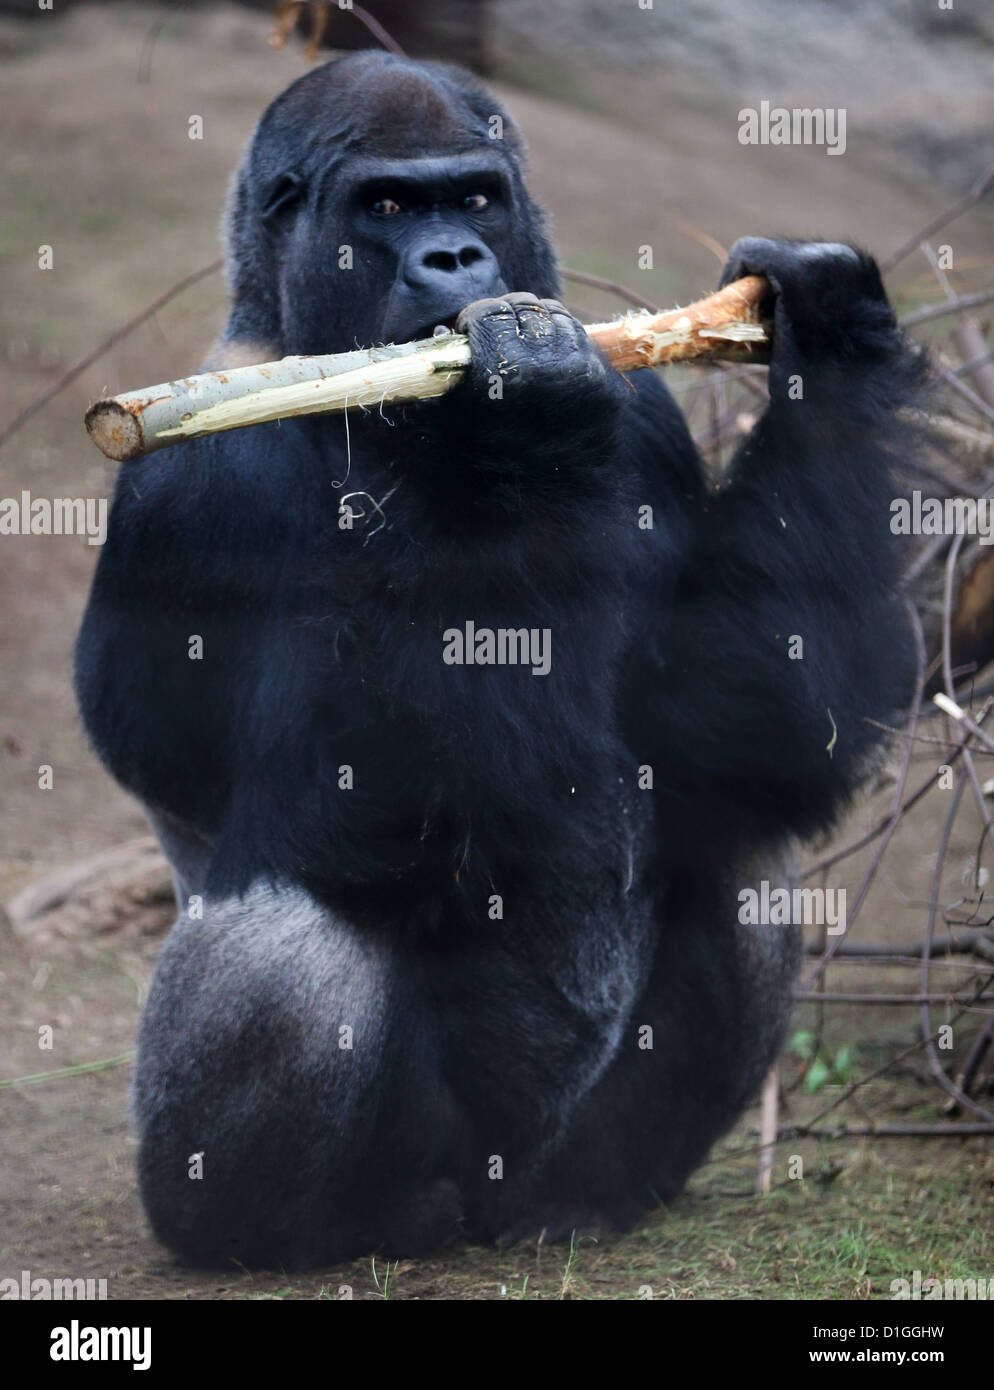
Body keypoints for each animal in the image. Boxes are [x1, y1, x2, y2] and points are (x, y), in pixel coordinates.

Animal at [74, 51, 923, 1273]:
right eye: (385, 208)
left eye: (475, 199)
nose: (456, 262)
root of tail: (475, 1210)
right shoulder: (192, 487)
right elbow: (340, 809)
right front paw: (523, 418)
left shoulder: (648, 415)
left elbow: (742, 727)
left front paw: (825, 329)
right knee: (289, 946)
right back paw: (285, 1227)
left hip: (538, 1171)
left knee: (743, 852)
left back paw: (596, 1194)